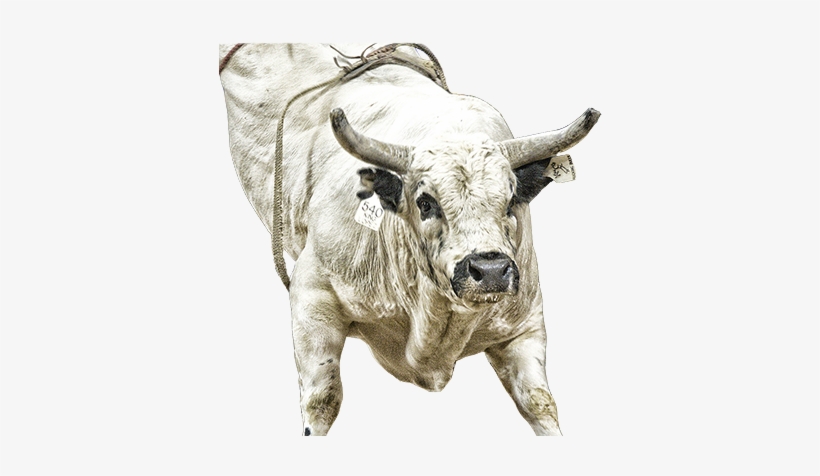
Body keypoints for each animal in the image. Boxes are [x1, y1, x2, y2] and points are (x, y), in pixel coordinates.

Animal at [218, 43, 600, 436]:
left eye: (511, 201)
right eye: (425, 202)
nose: (491, 270)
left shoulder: (525, 324)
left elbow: (541, 403)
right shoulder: (312, 299)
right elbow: (322, 401)